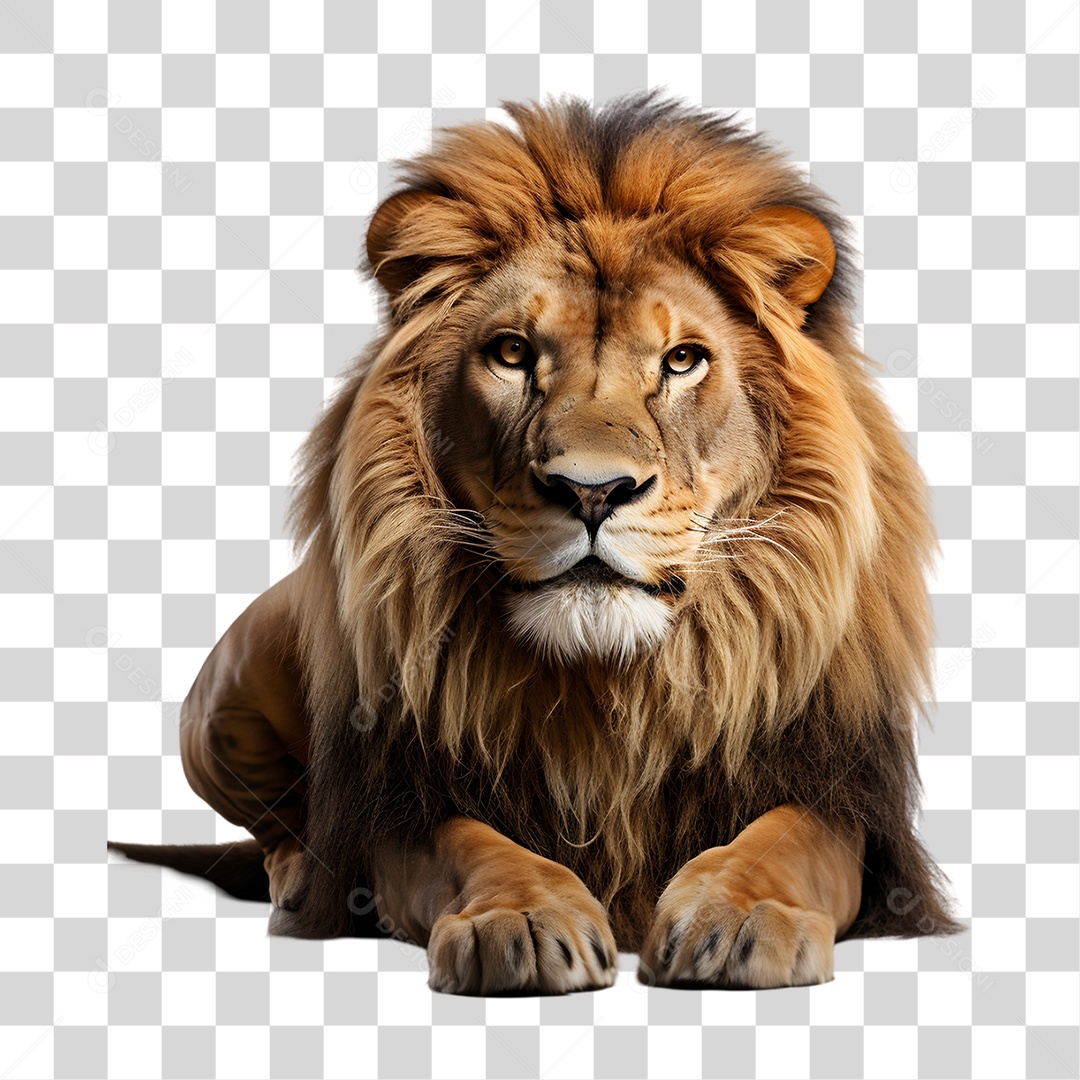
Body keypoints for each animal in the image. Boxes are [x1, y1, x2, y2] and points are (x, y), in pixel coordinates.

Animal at [110, 93, 961, 994]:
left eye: (683, 360)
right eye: (513, 353)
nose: (592, 491)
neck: (608, 687)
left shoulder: (847, 805)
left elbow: (786, 838)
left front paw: (738, 913)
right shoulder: (404, 801)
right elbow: (472, 847)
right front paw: (520, 919)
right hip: (218, 706)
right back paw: (304, 879)